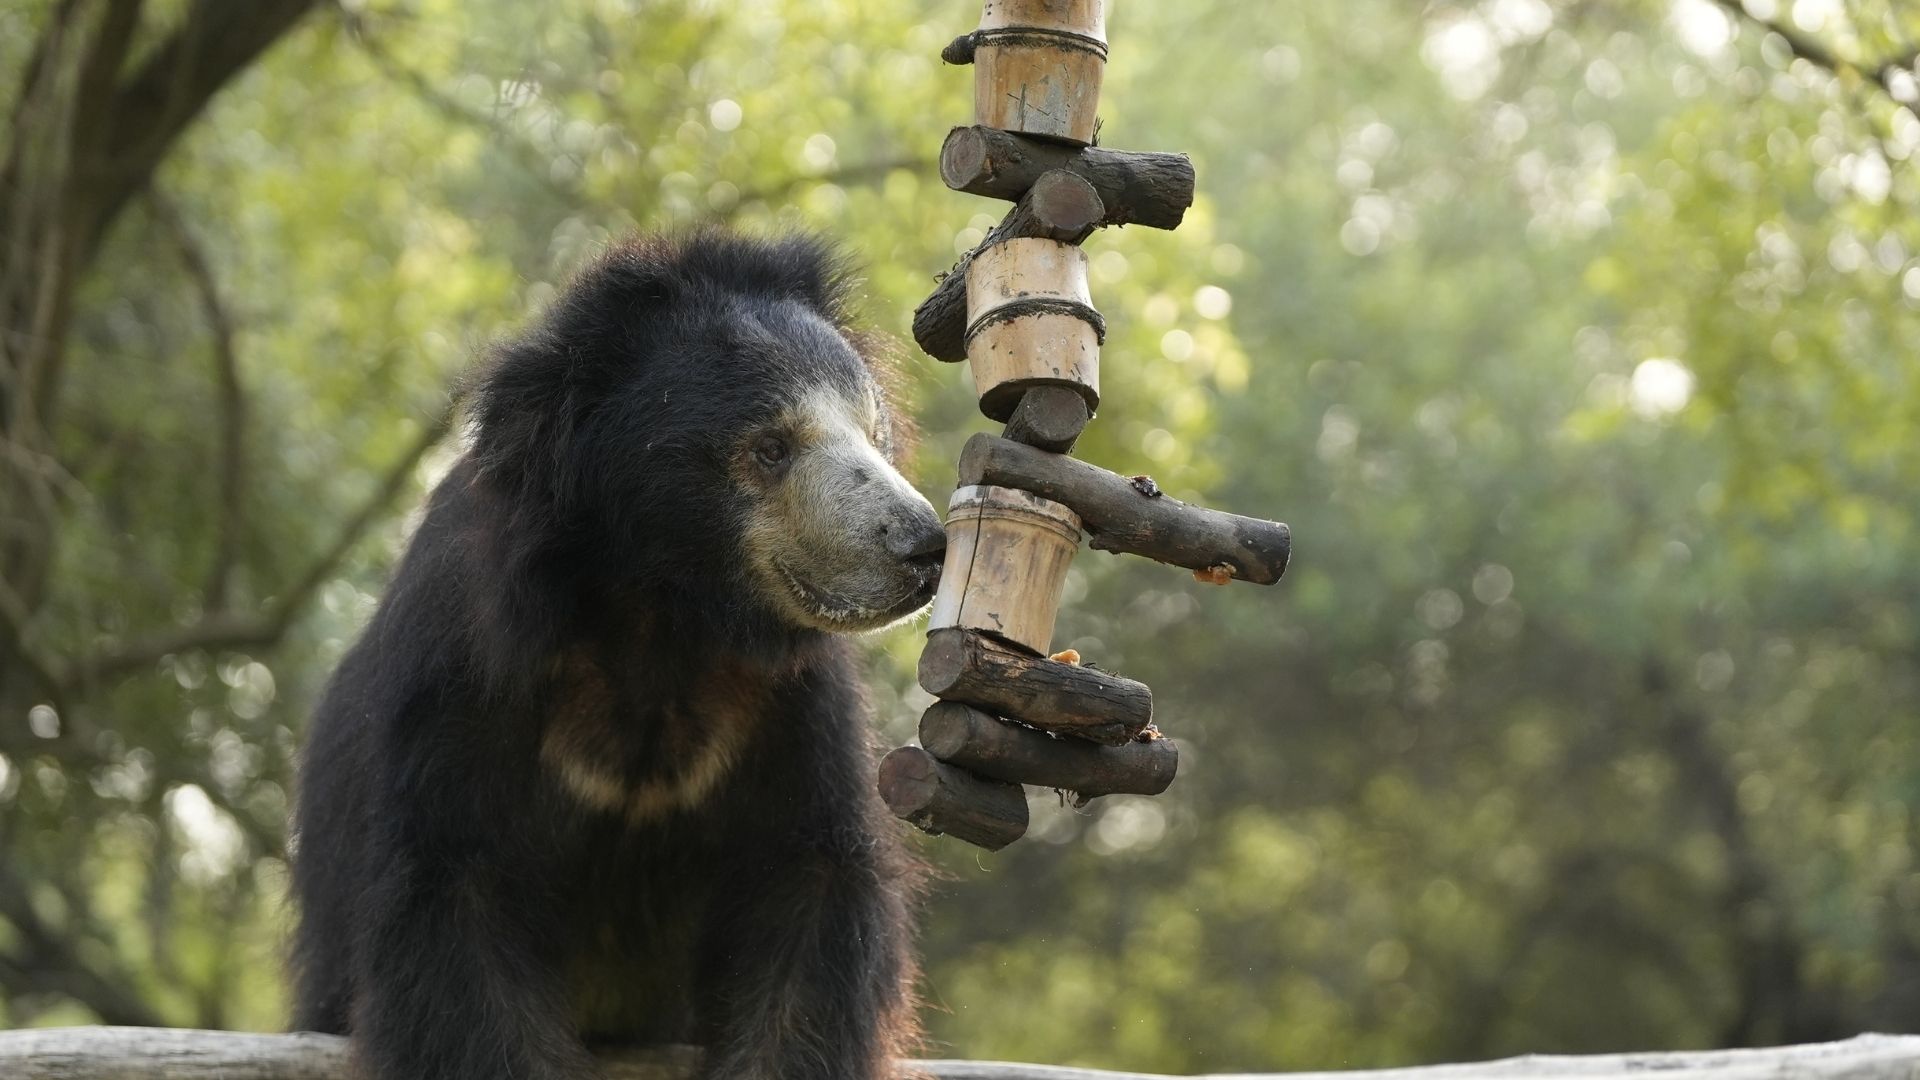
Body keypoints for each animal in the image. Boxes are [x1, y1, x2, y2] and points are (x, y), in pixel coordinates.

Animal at [289, 232, 946, 1080]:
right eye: (770, 448)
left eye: (873, 430)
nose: (923, 546)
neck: (662, 611)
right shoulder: (468, 668)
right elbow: (453, 903)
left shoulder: (791, 704)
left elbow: (809, 889)